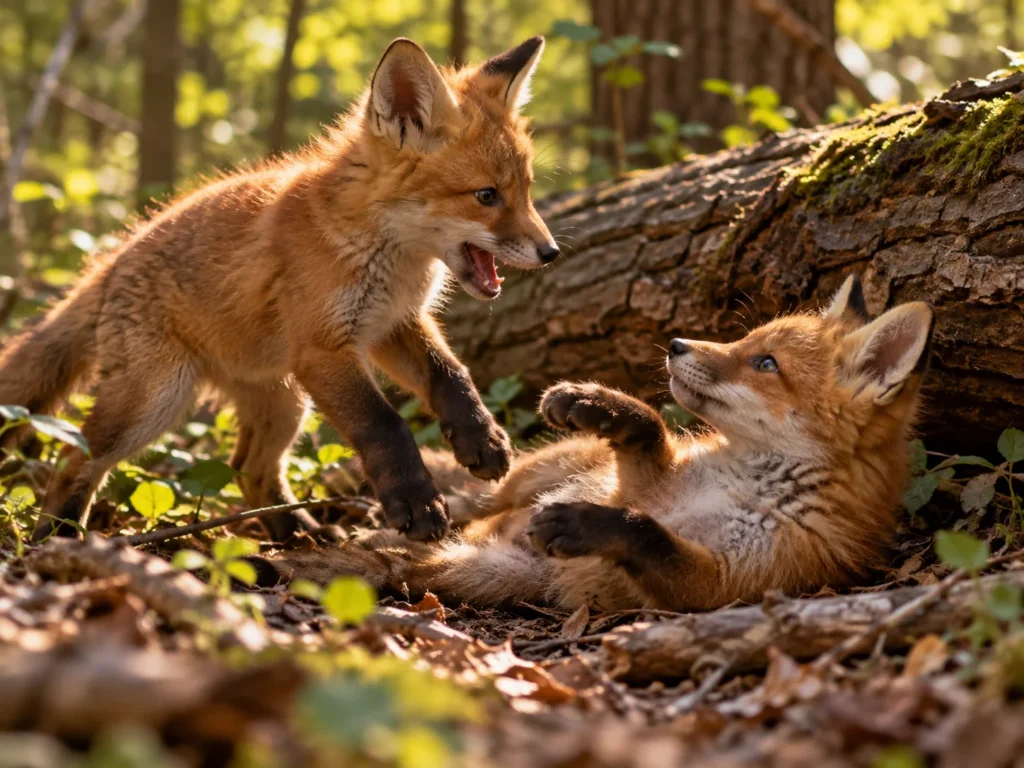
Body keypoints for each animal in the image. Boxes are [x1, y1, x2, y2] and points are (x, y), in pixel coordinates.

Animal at [0, 37, 559, 543]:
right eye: (486, 196)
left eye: (527, 190)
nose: (551, 252)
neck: (380, 250)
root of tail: (113, 255)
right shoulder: (323, 349)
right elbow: (385, 425)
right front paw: (417, 504)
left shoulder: (390, 324)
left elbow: (452, 375)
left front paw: (481, 438)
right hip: (156, 398)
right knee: (73, 452)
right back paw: (57, 532)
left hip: (283, 402)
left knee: (249, 469)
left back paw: (296, 535)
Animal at [260, 275, 935, 612]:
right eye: (748, 342)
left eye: (766, 364)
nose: (676, 346)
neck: (744, 477)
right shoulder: (647, 480)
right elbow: (650, 426)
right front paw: (595, 403)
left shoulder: (728, 584)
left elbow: (646, 532)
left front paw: (582, 523)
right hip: (513, 485)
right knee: (462, 502)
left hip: (486, 571)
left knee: (395, 563)